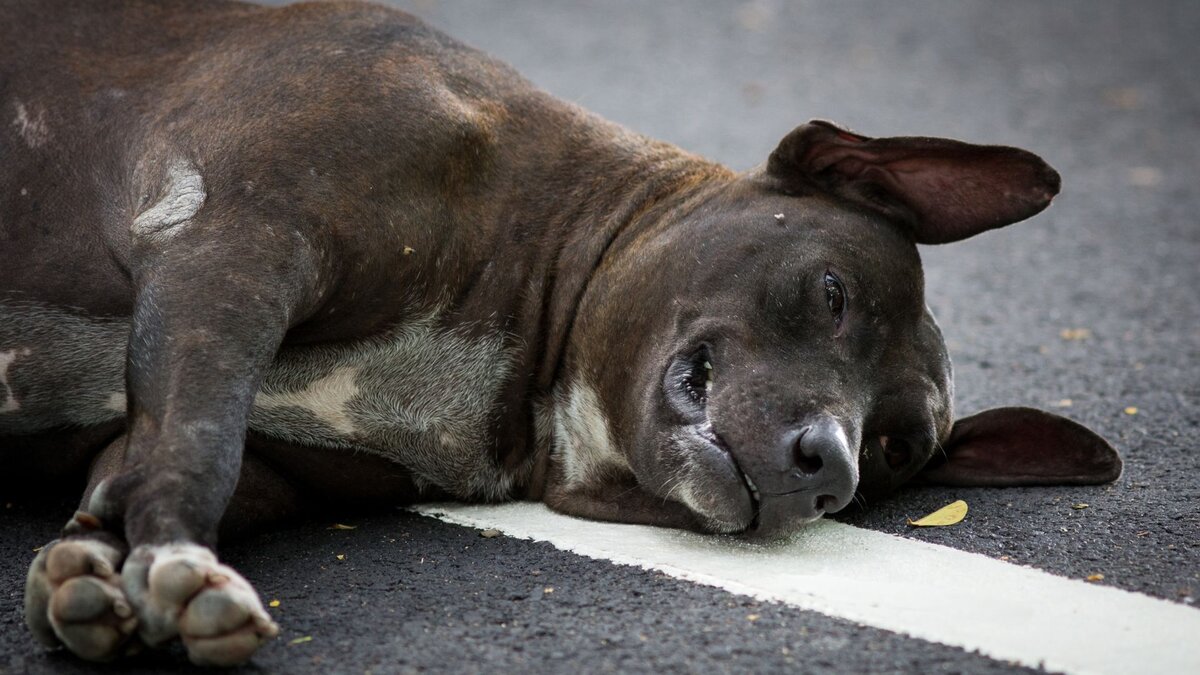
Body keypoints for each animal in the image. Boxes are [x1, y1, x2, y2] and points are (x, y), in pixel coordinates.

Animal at [2, 0, 1123, 662]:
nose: (830, 469)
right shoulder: (234, 246)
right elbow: (198, 444)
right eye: (834, 293)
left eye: (896, 452)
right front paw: (176, 560)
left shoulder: (243, 417)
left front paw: (100, 565)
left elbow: (149, 458)